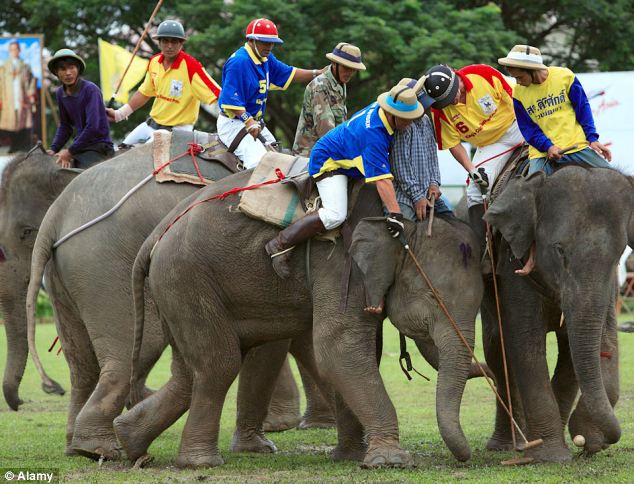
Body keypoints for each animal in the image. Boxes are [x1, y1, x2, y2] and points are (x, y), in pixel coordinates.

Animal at [111, 171, 482, 468]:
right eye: (434, 299)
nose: (465, 459)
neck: (401, 220)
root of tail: (156, 234)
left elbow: (362, 351)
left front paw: (349, 457)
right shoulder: (339, 263)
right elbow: (338, 348)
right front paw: (390, 462)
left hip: (177, 289)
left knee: (190, 372)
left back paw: (129, 442)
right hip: (186, 279)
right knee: (219, 363)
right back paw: (200, 463)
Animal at [476, 168, 628, 464]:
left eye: (618, 255)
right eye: (559, 250)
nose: (591, 443)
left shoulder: (609, 286)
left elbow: (580, 347)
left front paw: (586, 438)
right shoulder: (513, 262)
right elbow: (525, 340)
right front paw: (553, 456)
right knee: (497, 349)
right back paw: (507, 446)